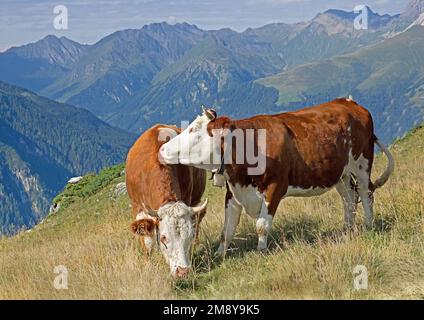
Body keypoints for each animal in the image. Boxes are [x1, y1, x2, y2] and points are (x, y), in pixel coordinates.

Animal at [126, 124, 207, 276]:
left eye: (189, 235)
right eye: (164, 237)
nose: (183, 272)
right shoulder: (138, 207)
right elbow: (147, 243)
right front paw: (148, 266)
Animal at [158, 99, 394, 254]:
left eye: (193, 132)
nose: (162, 149)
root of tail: (350, 102)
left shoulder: (275, 187)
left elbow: (262, 225)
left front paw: (261, 251)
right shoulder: (233, 192)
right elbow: (227, 230)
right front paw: (219, 254)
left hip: (362, 164)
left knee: (365, 192)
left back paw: (369, 226)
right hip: (341, 173)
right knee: (349, 198)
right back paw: (346, 229)